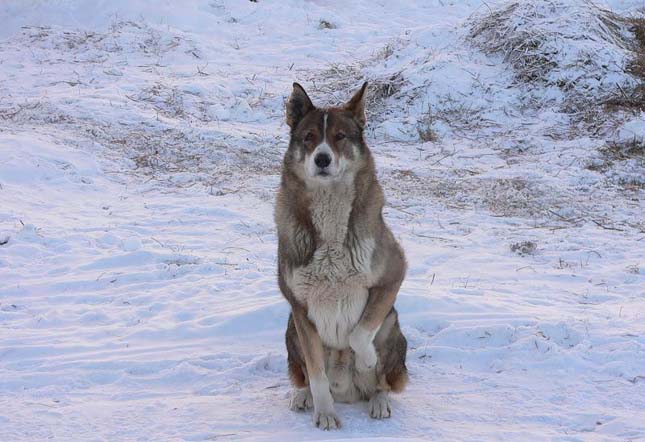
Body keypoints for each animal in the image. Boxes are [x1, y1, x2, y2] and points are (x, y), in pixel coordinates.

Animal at [272, 82, 408, 428]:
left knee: (383, 381)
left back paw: (378, 399)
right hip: (291, 329)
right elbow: (316, 374)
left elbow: (360, 335)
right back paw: (304, 396)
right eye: (309, 137)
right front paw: (325, 414)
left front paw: (365, 360)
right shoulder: (300, 308)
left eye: (340, 136)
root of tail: (348, 391)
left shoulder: (394, 274)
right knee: (305, 376)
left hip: (391, 326)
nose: (322, 159)